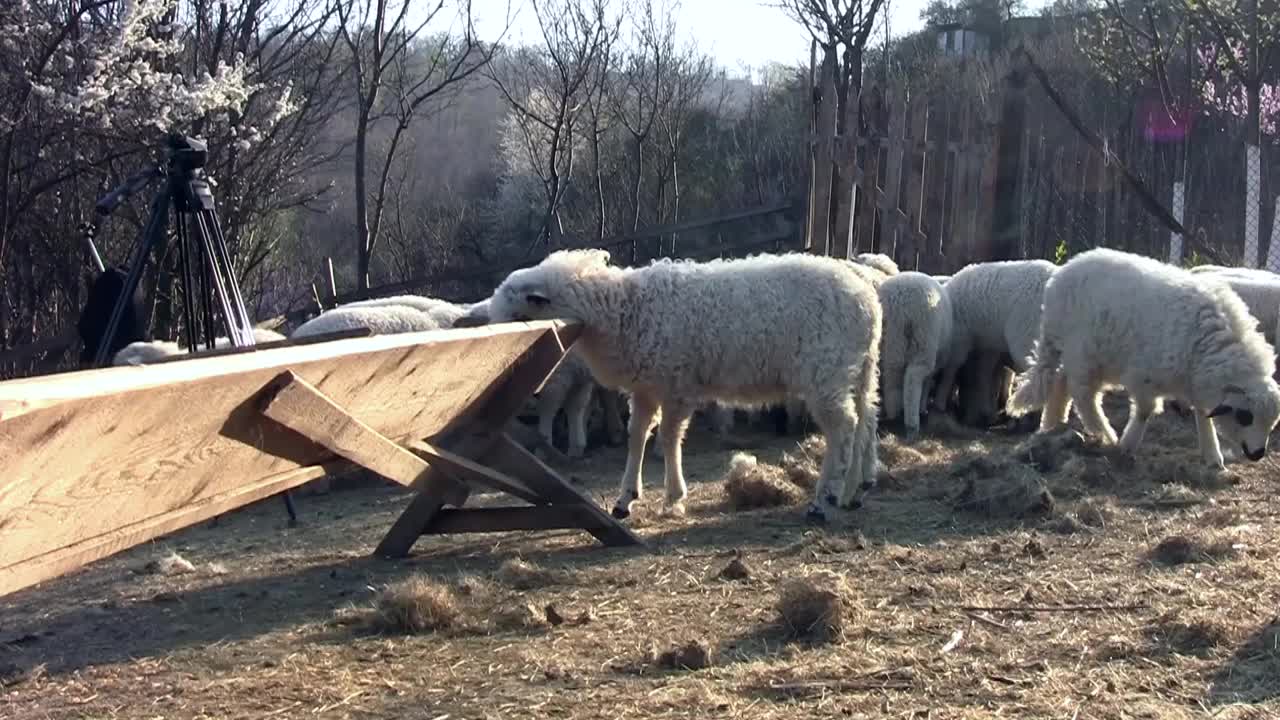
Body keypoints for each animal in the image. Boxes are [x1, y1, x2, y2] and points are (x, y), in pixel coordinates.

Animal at [465, 249, 885, 517]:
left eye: (516, 316)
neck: (622, 311)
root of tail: (868, 299)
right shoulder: (646, 387)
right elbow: (637, 435)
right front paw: (625, 498)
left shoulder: (676, 384)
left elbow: (668, 437)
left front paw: (672, 495)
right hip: (859, 369)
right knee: (866, 420)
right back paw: (856, 488)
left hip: (826, 371)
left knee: (843, 427)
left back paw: (826, 498)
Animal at [875, 270, 957, 430]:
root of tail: (901, 301)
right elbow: (927, 382)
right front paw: (923, 407)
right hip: (923, 341)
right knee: (913, 378)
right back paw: (912, 421)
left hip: (893, 338)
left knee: (893, 374)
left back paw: (894, 413)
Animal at [926, 257, 1054, 420]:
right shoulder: (989, 345)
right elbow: (985, 373)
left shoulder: (960, 339)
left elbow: (951, 369)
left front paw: (940, 401)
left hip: (1026, 334)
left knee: (1039, 375)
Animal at [1008, 248, 1280, 471]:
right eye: (1245, 416)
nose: (1257, 454)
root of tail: (1061, 276)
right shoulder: (1144, 376)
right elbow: (1145, 411)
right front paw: (1128, 445)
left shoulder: (1195, 380)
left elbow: (1203, 414)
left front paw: (1213, 456)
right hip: (1083, 354)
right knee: (1083, 395)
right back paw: (1104, 433)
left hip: (1088, 356)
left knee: (1061, 382)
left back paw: (1052, 424)